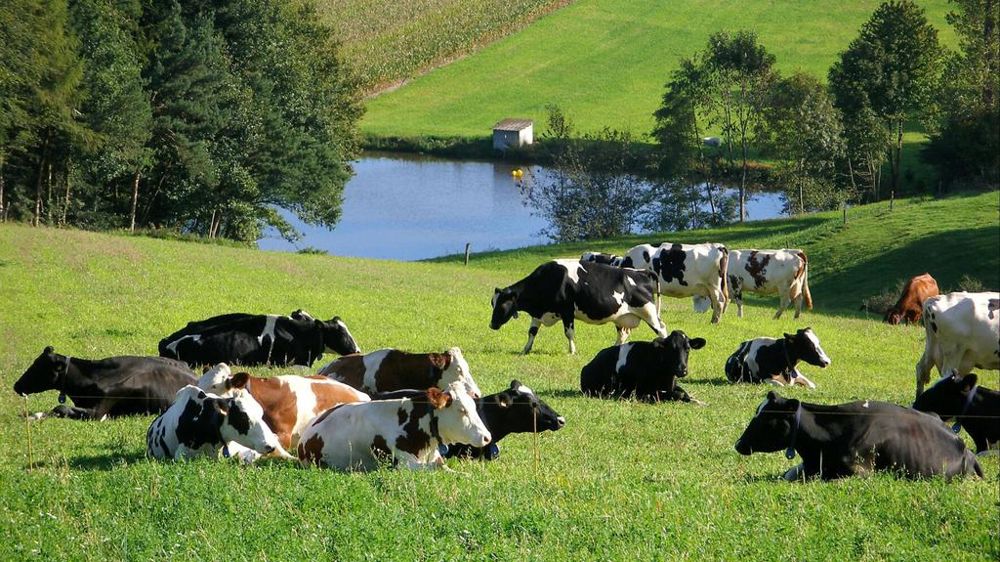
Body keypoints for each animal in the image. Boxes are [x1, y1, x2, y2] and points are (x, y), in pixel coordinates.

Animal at [490, 259, 667, 355]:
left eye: (502, 304)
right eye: (493, 303)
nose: (492, 325)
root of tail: (641, 272)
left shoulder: (567, 311)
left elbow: (569, 333)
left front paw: (572, 351)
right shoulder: (538, 313)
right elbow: (532, 332)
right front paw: (525, 349)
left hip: (649, 312)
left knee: (662, 329)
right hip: (621, 317)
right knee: (623, 334)